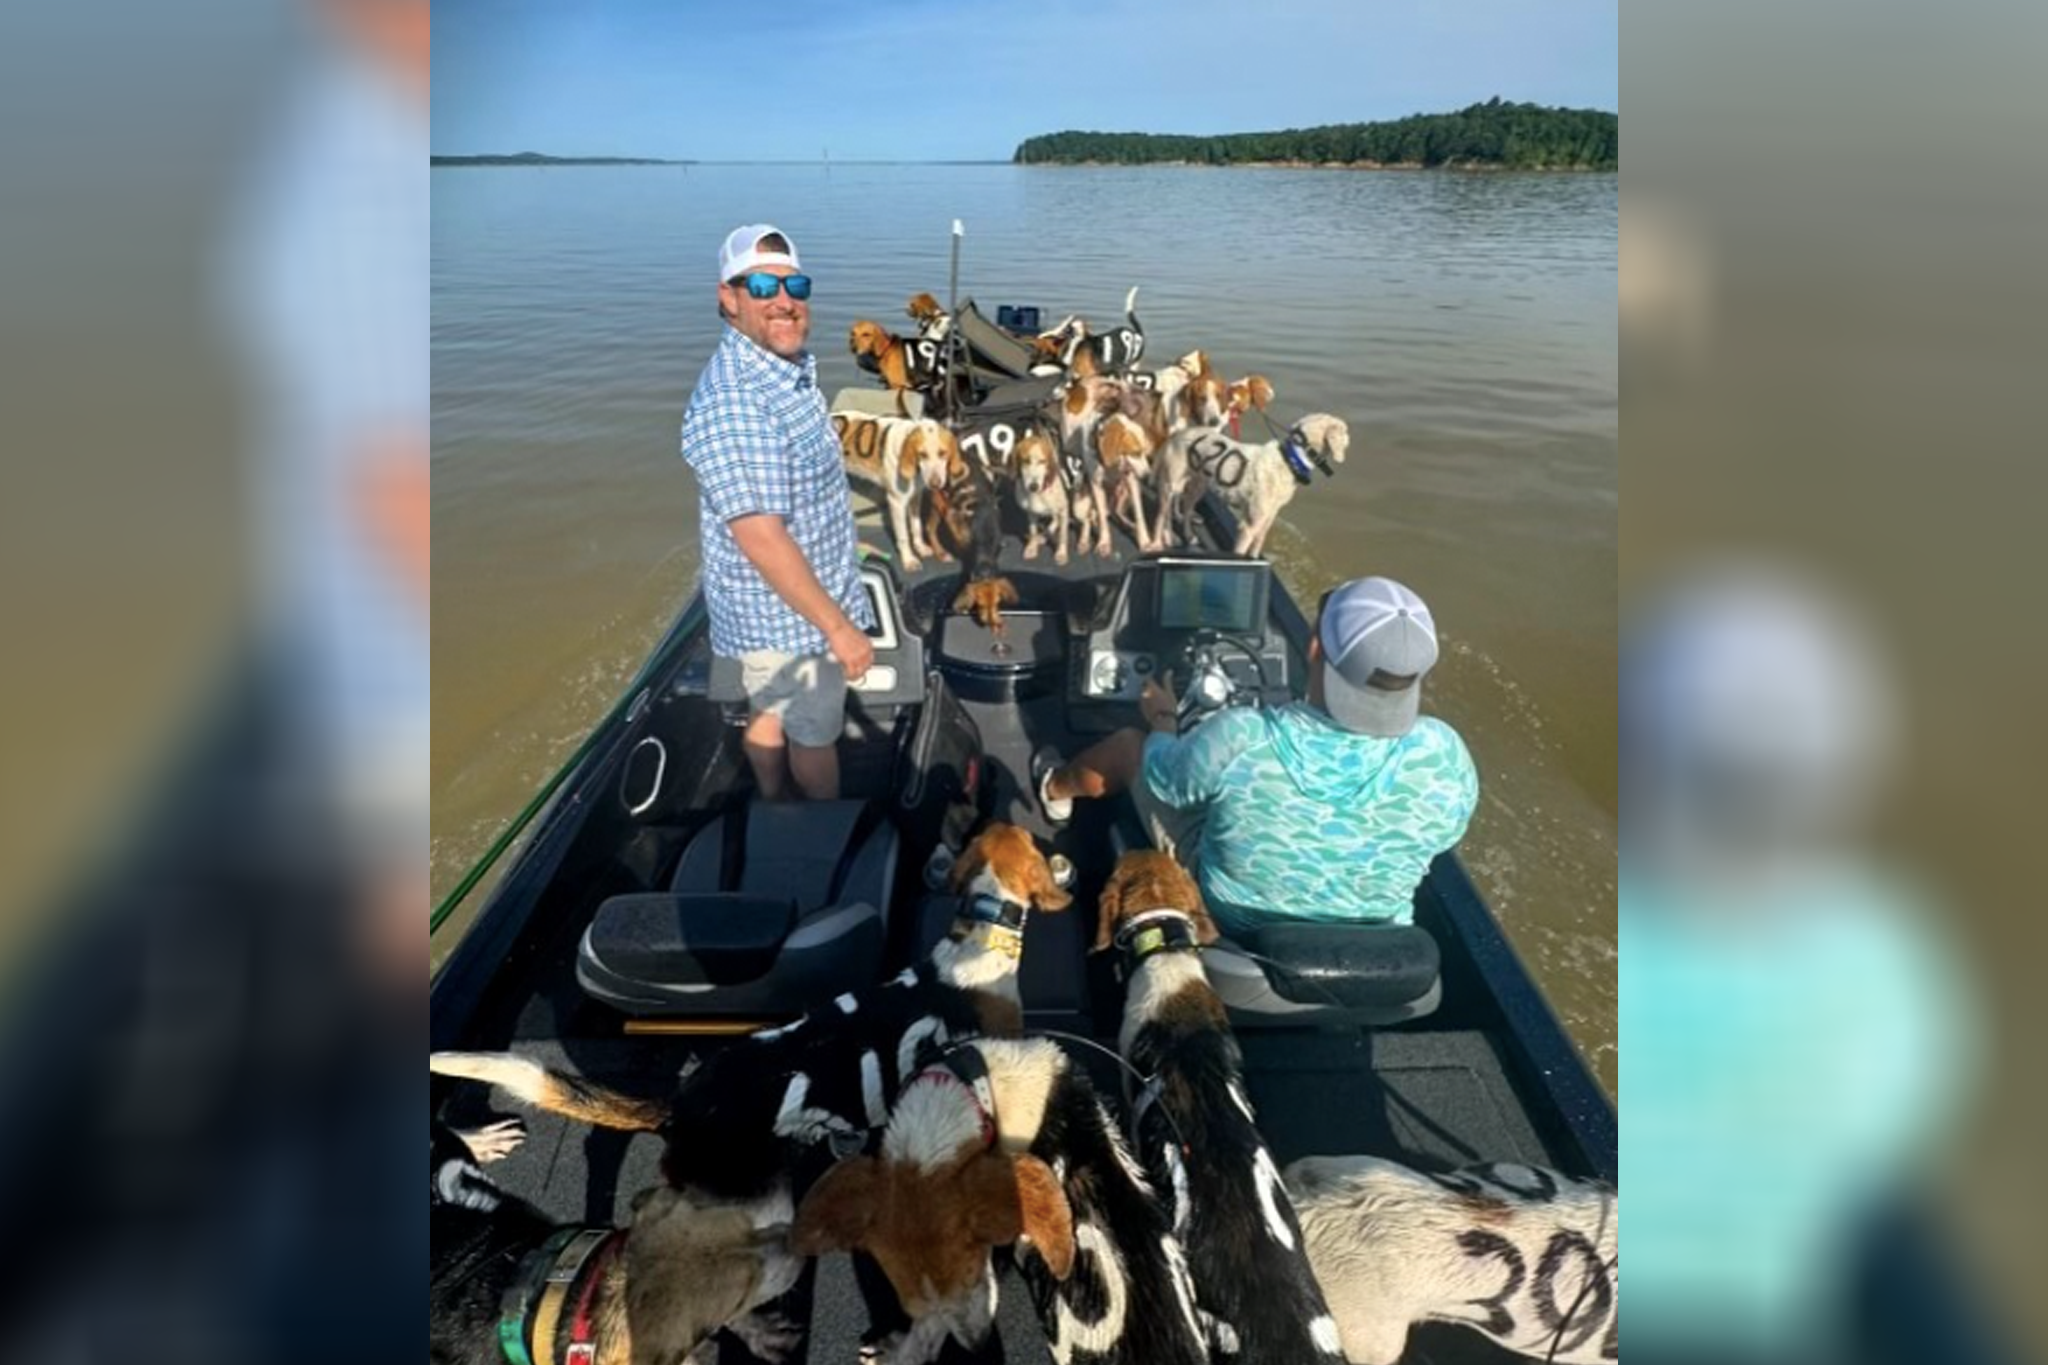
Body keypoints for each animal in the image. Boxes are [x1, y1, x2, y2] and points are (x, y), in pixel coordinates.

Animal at [1163, 411, 1351, 556]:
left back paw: (1183, 524)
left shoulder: (1268, 518)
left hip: (1197, 484)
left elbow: (1257, 546)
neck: (1290, 460)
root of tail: (1182, 431)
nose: (1350, 438)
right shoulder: (1249, 525)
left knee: (1185, 504)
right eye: (1345, 430)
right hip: (1177, 481)